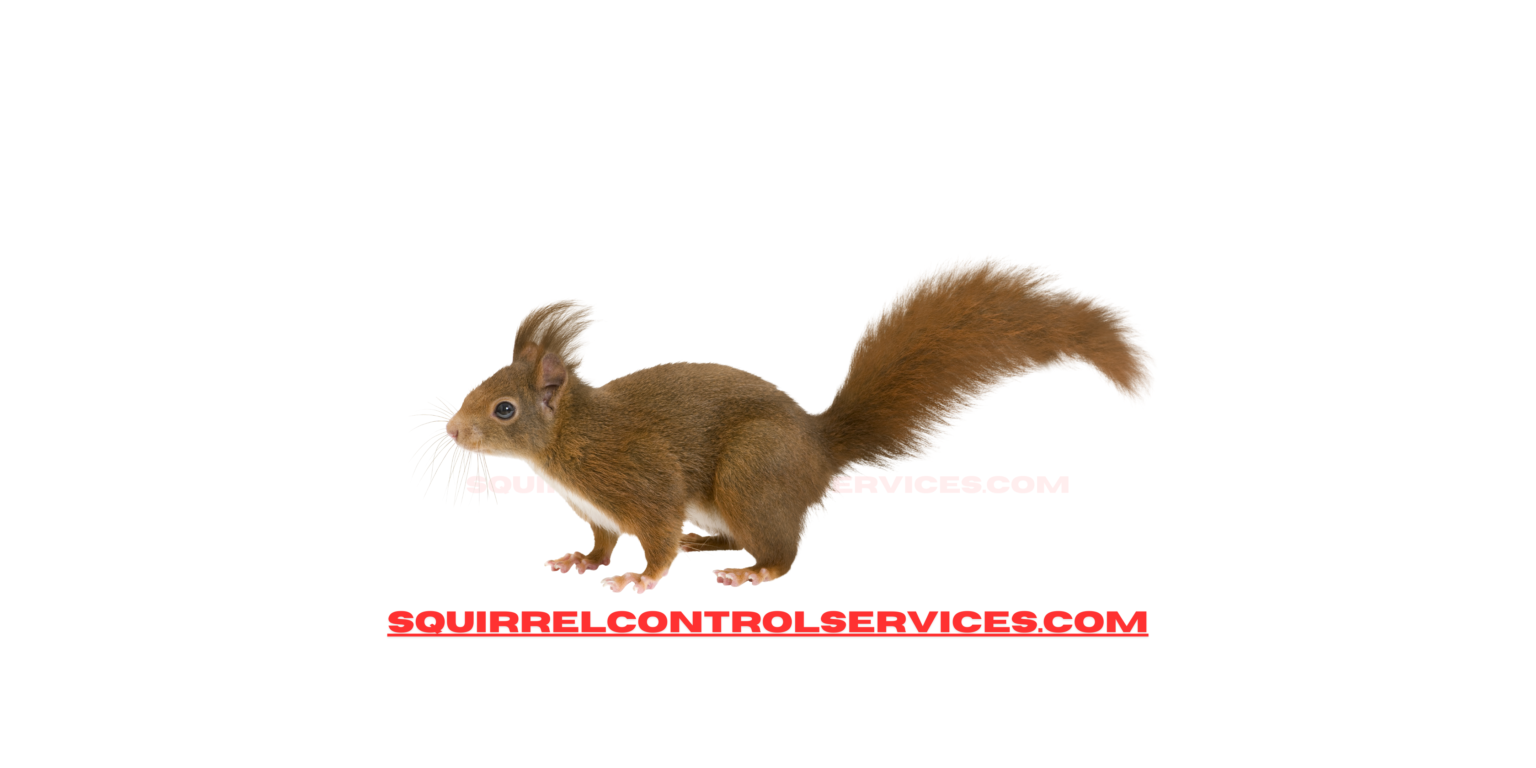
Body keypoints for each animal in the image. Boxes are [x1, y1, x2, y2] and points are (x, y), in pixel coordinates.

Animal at [445, 263, 1146, 593]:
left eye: (503, 409)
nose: (452, 430)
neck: (567, 442)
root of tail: (818, 447)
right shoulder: (597, 511)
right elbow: (601, 541)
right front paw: (582, 561)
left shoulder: (640, 479)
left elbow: (656, 538)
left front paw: (639, 580)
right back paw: (713, 546)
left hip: (750, 477)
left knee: (783, 554)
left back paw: (751, 574)